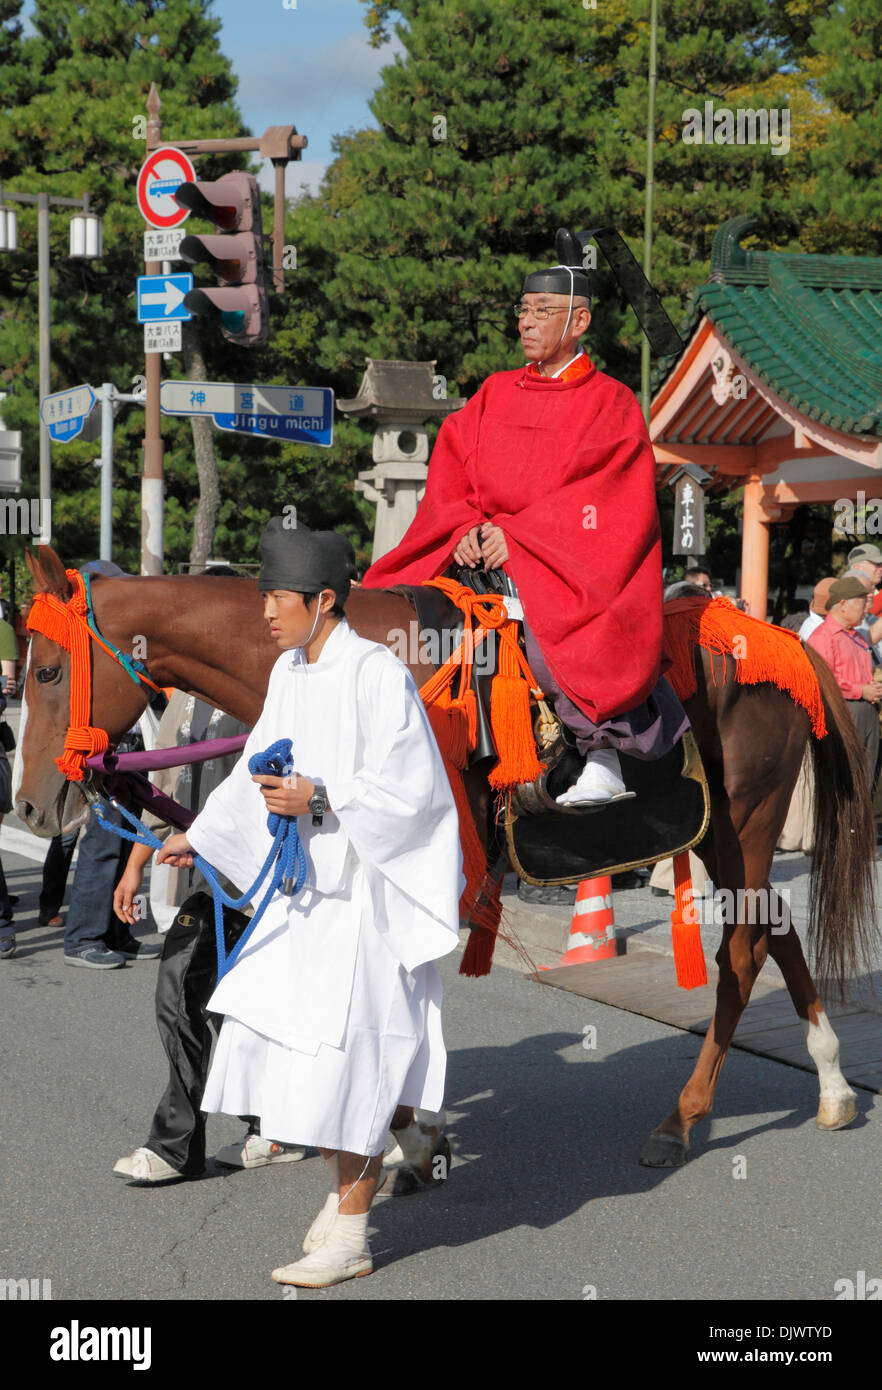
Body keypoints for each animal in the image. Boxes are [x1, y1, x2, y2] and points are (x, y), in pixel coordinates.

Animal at [17, 547, 877, 1167]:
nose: (30, 805)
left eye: (49, 671)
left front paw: (401, 1130)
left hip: (746, 816)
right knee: (777, 930)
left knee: (742, 953)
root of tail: (773, 636)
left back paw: (682, 1118)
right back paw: (833, 1084)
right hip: (733, 834)